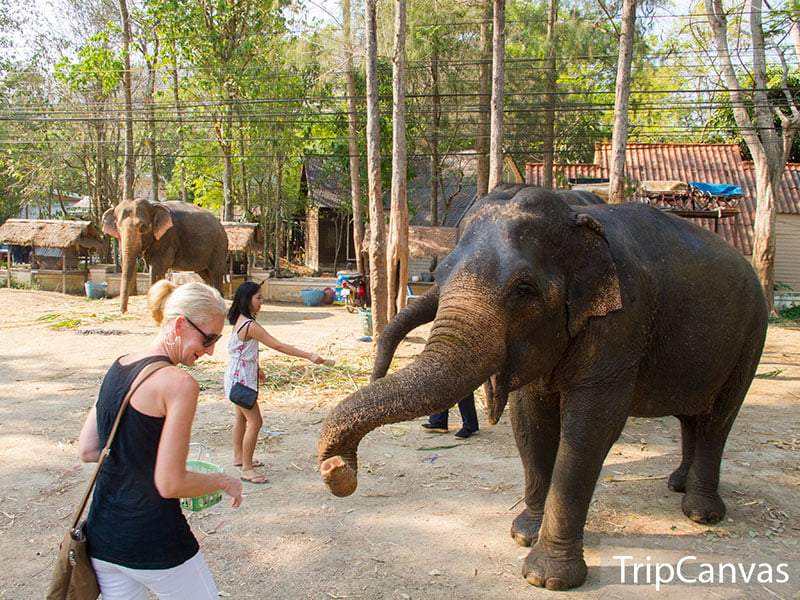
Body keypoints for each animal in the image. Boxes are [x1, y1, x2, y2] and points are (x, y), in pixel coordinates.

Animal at [318, 184, 768, 590]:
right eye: (441, 275)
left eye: (524, 290)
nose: (339, 468)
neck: (577, 218)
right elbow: (529, 420)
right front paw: (523, 534)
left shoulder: (622, 319)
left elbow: (591, 428)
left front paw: (547, 577)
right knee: (693, 417)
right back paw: (677, 483)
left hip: (752, 334)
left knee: (719, 419)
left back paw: (701, 512)